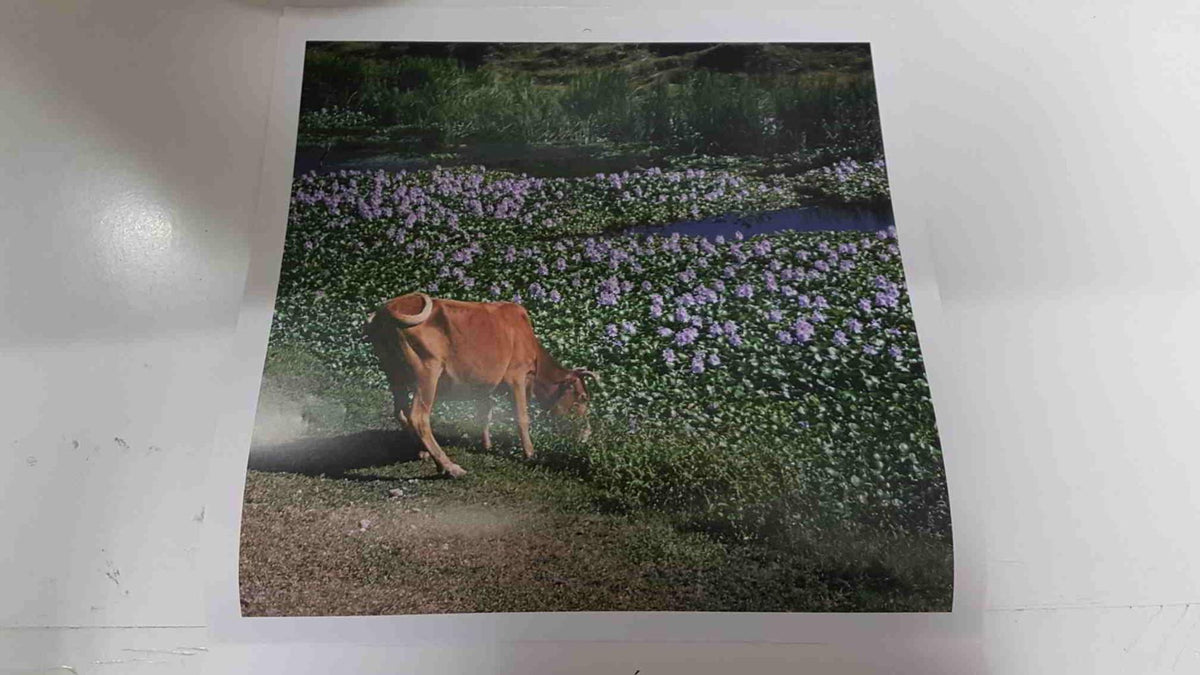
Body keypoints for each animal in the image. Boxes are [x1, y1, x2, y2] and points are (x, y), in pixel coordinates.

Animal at [362, 292, 598, 478]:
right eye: (582, 398)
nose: (587, 434)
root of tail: (386, 309)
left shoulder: (484, 384)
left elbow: (485, 413)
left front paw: (487, 445)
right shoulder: (517, 377)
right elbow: (522, 417)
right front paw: (530, 454)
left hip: (394, 374)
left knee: (400, 411)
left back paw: (424, 453)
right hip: (427, 371)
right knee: (418, 416)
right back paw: (450, 467)